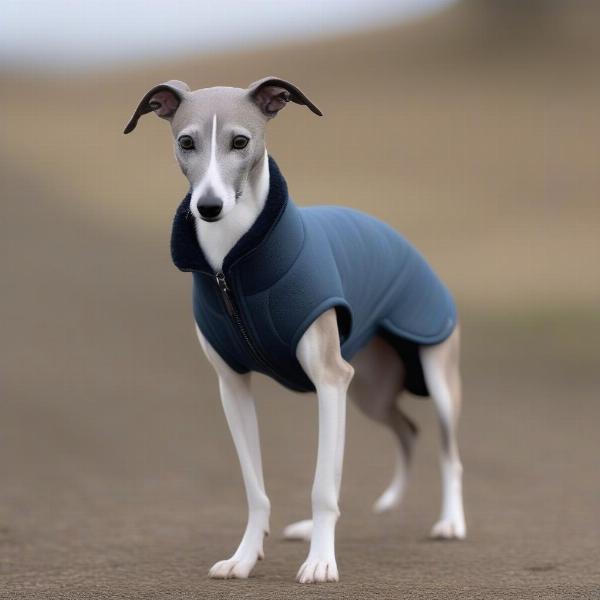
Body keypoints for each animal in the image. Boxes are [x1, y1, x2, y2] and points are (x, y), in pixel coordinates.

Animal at [124, 77, 466, 584]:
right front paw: (245, 557)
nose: (208, 207)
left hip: (430, 374)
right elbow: (256, 489)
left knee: (448, 451)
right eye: (186, 142)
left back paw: (450, 522)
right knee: (406, 429)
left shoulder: (329, 379)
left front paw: (321, 562)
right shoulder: (233, 386)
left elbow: (323, 485)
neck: (230, 268)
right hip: (369, 388)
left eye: (240, 142)